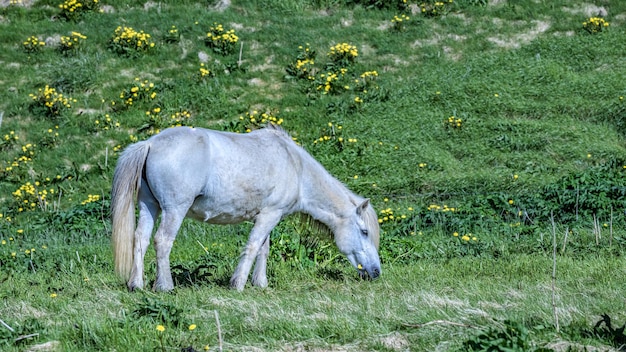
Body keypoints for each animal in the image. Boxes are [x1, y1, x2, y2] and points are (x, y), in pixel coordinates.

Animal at [109, 125, 378, 290]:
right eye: (364, 232)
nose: (375, 271)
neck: (296, 166)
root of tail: (150, 143)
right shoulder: (270, 215)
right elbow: (253, 246)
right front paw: (238, 284)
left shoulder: (267, 215)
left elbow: (263, 249)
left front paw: (260, 282)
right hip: (174, 210)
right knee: (162, 241)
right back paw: (165, 286)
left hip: (149, 206)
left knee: (141, 239)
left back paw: (136, 284)